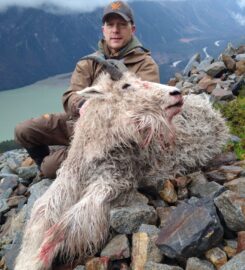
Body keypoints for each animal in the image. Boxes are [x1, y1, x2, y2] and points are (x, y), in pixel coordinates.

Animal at [14, 58, 229, 268]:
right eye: (126, 85)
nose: (176, 94)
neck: (96, 149)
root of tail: (208, 107)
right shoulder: (69, 177)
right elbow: (42, 210)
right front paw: (26, 260)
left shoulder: (111, 182)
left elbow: (65, 225)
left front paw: (39, 257)